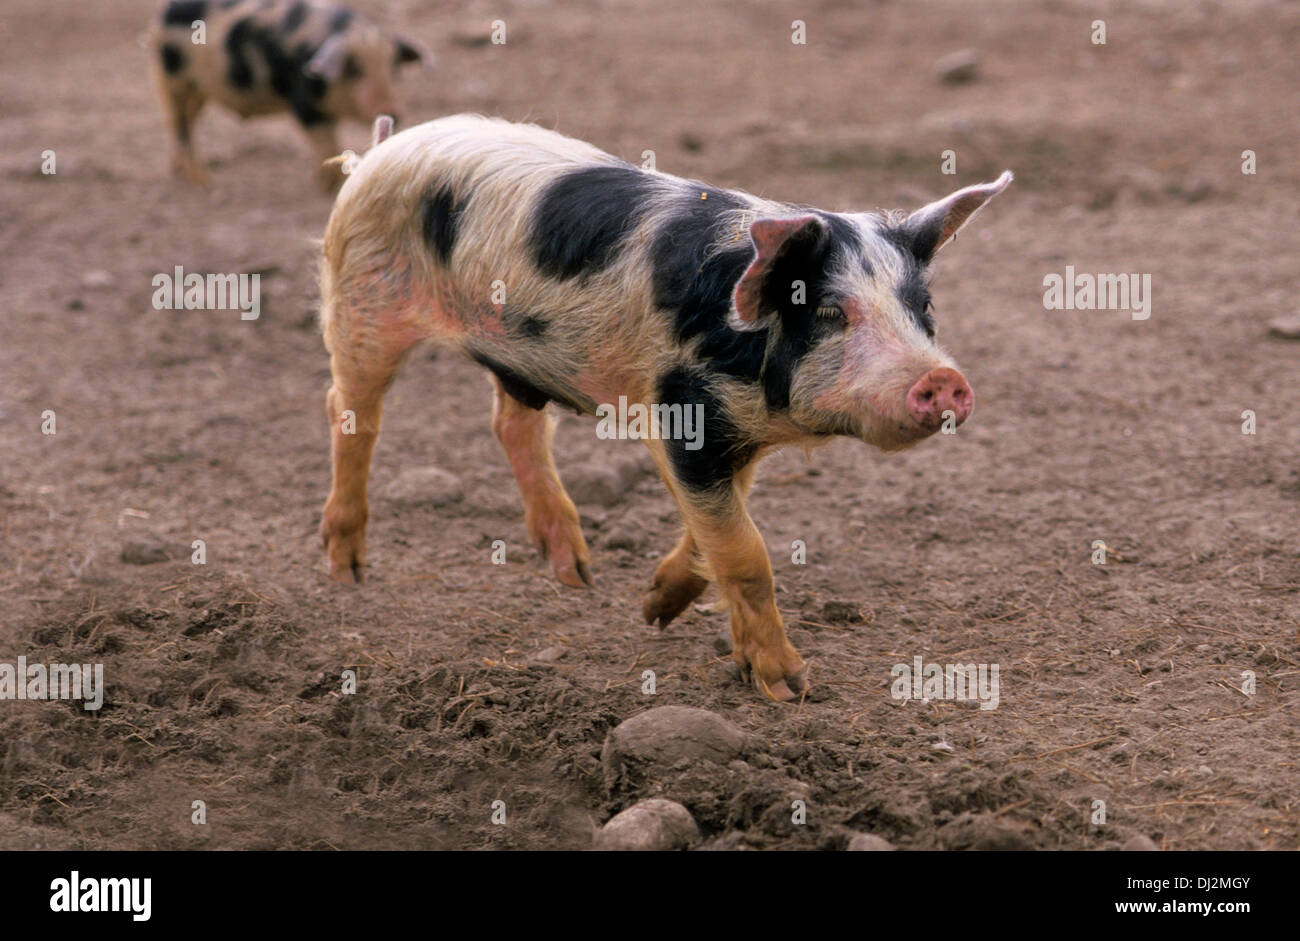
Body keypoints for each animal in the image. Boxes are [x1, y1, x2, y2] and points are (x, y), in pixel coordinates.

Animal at [148, 0, 428, 189]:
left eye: (393, 67)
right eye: (354, 70)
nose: (391, 110)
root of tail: (163, 15)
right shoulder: (303, 103)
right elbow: (326, 144)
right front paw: (328, 186)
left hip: (197, 91)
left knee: (183, 122)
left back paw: (179, 171)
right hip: (173, 81)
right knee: (181, 127)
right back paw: (204, 182)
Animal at [319, 115, 1008, 696]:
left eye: (924, 308)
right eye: (832, 312)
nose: (944, 380)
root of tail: (383, 147)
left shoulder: (729, 433)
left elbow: (714, 535)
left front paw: (653, 609)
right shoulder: (684, 413)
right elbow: (746, 553)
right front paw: (789, 686)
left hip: (518, 354)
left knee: (511, 424)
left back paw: (575, 572)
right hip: (361, 301)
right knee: (349, 410)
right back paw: (347, 568)